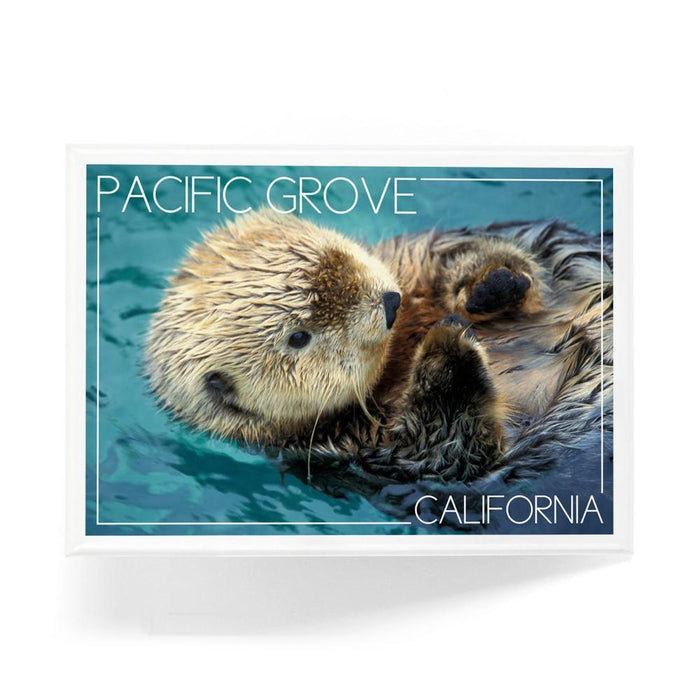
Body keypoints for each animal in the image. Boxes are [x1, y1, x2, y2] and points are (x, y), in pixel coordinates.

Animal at [145, 209, 612, 483]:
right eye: (299, 337)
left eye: (342, 255)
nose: (389, 304)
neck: (403, 344)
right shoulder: (366, 446)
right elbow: (453, 446)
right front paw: (446, 354)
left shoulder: (413, 256)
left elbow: (485, 255)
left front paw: (493, 284)